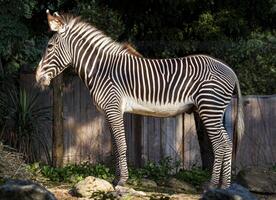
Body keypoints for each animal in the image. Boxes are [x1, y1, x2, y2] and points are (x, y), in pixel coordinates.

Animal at [36, 10, 244, 189]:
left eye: (49, 47)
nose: (38, 78)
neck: (101, 69)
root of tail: (229, 69)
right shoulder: (110, 112)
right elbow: (115, 146)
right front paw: (115, 179)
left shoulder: (113, 108)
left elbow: (121, 144)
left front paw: (122, 181)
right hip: (214, 110)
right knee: (227, 144)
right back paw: (224, 186)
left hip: (209, 108)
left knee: (220, 145)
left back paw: (212, 185)